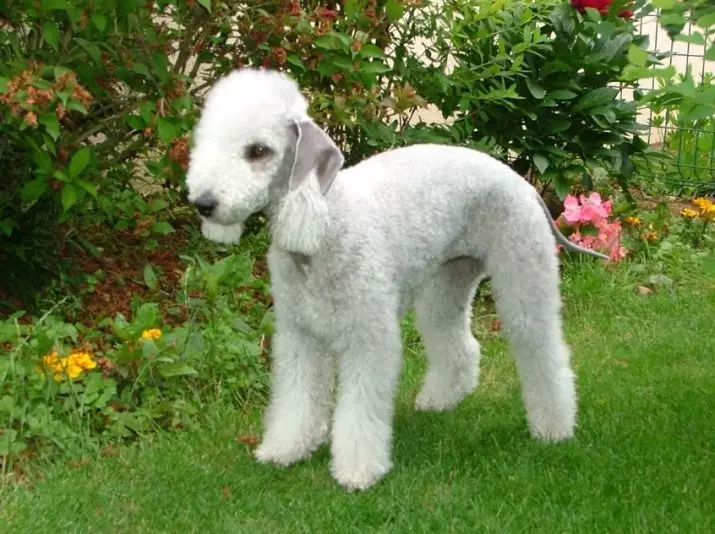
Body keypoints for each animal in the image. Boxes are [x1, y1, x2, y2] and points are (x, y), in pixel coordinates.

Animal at [186, 68, 604, 494]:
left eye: (258, 151)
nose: (203, 203)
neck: (325, 227)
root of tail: (523, 183)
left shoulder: (368, 337)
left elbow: (360, 408)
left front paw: (358, 471)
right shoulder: (299, 336)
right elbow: (297, 398)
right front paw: (285, 449)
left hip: (523, 274)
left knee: (544, 351)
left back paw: (553, 428)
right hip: (446, 283)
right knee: (459, 345)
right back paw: (440, 400)